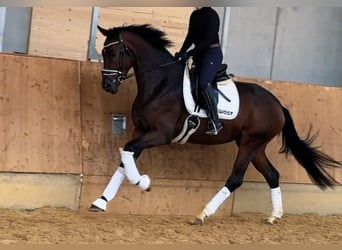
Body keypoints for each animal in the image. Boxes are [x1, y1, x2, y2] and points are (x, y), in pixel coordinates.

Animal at [89, 24, 342, 225]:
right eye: (103, 51)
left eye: (113, 52)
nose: (108, 85)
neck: (161, 84)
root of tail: (278, 105)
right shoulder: (141, 131)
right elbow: (125, 158)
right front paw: (101, 202)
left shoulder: (160, 134)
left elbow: (128, 151)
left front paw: (143, 182)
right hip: (256, 146)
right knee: (272, 175)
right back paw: (274, 216)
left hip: (250, 144)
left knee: (236, 178)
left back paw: (203, 214)